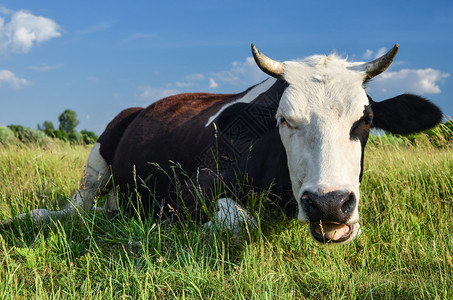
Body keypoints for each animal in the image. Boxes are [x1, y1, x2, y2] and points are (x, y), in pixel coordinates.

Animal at [0, 44, 442, 244]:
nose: (329, 203)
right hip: (99, 155)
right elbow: (239, 221)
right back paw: (33, 216)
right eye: (284, 119)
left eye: (365, 121)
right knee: (75, 208)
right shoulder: (193, 187)